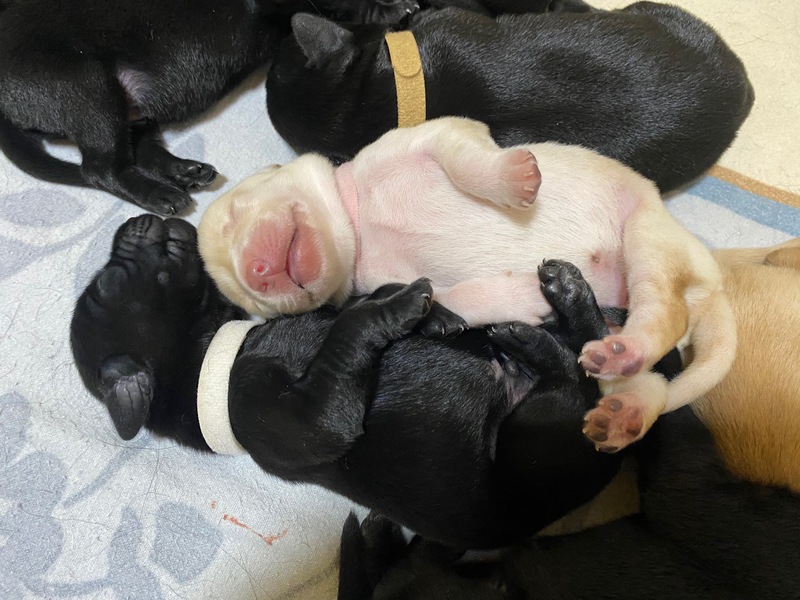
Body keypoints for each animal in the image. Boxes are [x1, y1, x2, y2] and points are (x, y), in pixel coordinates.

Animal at [0, 0, 421, 214]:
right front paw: (392, 9)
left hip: (128, 104)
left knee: (138, 149)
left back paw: (184, 171)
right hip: (86, 85)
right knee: (101, 168)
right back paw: (160, 195)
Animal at [72, 214, 684, 548]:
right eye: (103, 288)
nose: (134, 220)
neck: (219, 346)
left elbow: (354, 301)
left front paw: (435, 315)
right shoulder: (293, 419)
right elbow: (348, 329)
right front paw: (403, 309)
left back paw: (568, 301)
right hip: (538, 437)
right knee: (581, 381)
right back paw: (537, 332)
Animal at [198, 116, 737, 452]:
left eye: (234, 214)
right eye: (250, 300)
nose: (257, 273)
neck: (360, 222)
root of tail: (712, 287)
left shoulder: (429, 136)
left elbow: (463, 159)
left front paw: (513, 180)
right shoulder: (394, 281)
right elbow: (453, 295)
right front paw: (457, 312)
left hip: (647, 234)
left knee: (665, 308)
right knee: (649, 378)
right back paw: (623, 406)